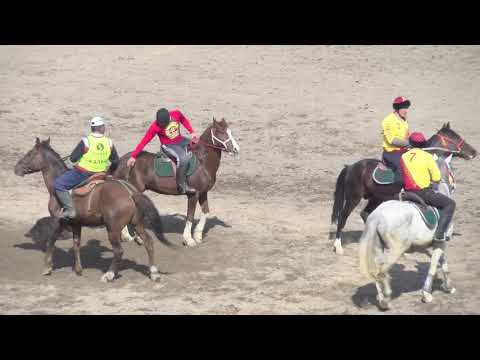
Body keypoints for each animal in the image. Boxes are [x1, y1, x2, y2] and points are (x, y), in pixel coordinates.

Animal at [15, 137, 177, 282]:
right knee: (149, 243)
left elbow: (51, 241)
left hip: (113, 229)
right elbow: (76, 244)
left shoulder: (60, 221)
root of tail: (130, 192)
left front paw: (47, 267)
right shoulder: (76, 223)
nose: (16, 168)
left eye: (29, 153)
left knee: (119, 251)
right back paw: (154, 273)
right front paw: (78, 269)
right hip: (137, 224)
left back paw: (109, 275)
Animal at [112, 118, 240, 248]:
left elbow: (205, 212)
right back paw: (132, 237)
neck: (202, 162)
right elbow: (190, 216)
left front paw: (198, 236)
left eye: (230, 131)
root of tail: (126, 159)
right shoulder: (193, 194)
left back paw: (127, 236)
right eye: (221, 132)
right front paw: (188, 239)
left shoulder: (203, 193)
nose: (236, 149)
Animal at [330, 122, 476, 255]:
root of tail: (351, 166)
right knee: (343, 217)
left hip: (376, 198)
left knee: (365, 214)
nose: (474, 152)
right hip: (354, 198)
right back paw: (338, 246)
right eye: (455, 137)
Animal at [358, 153, 456, 310]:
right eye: (451, 168)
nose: (454, 186)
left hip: (378, 248)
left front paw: (448, 286)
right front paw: (427, 294)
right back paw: (386, 297)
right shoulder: (441, 243)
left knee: (376, 270)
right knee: (382, 270)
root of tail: (377, 215)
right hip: (397, 249)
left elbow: (443, 263)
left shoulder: (438, 244)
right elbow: (434, 266)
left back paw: (381, 298)